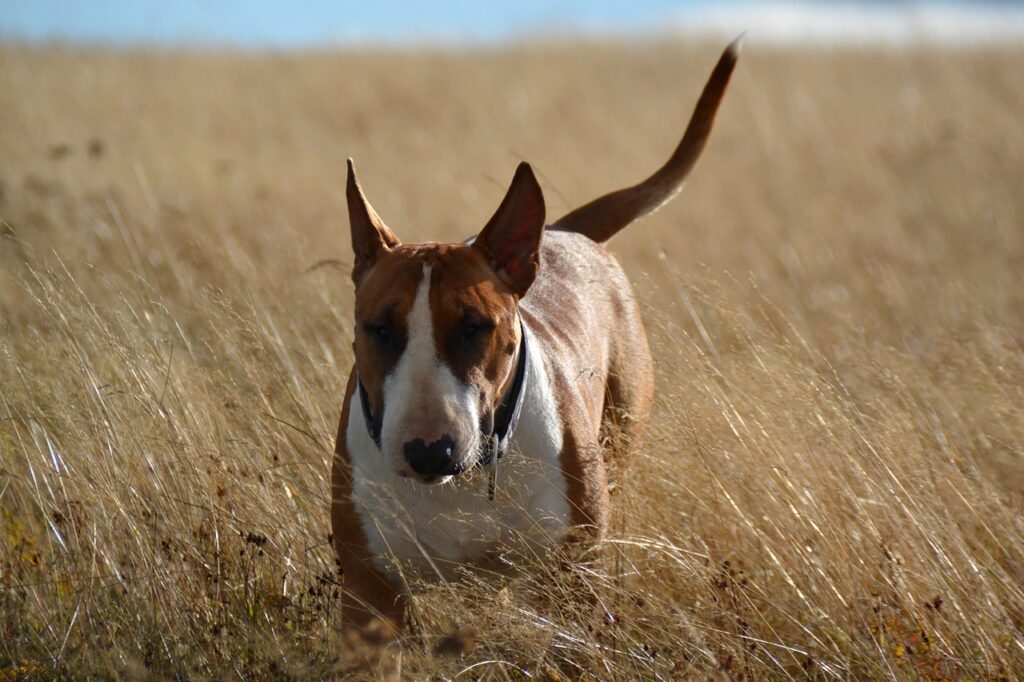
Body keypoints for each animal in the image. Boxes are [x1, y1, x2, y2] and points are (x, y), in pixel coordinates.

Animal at [331, 38, 741, 626]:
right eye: (379, 329)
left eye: (476, 326)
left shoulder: (573, 576)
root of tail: (563, 230)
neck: (466, 480)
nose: (430, 452)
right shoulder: (369, 595)